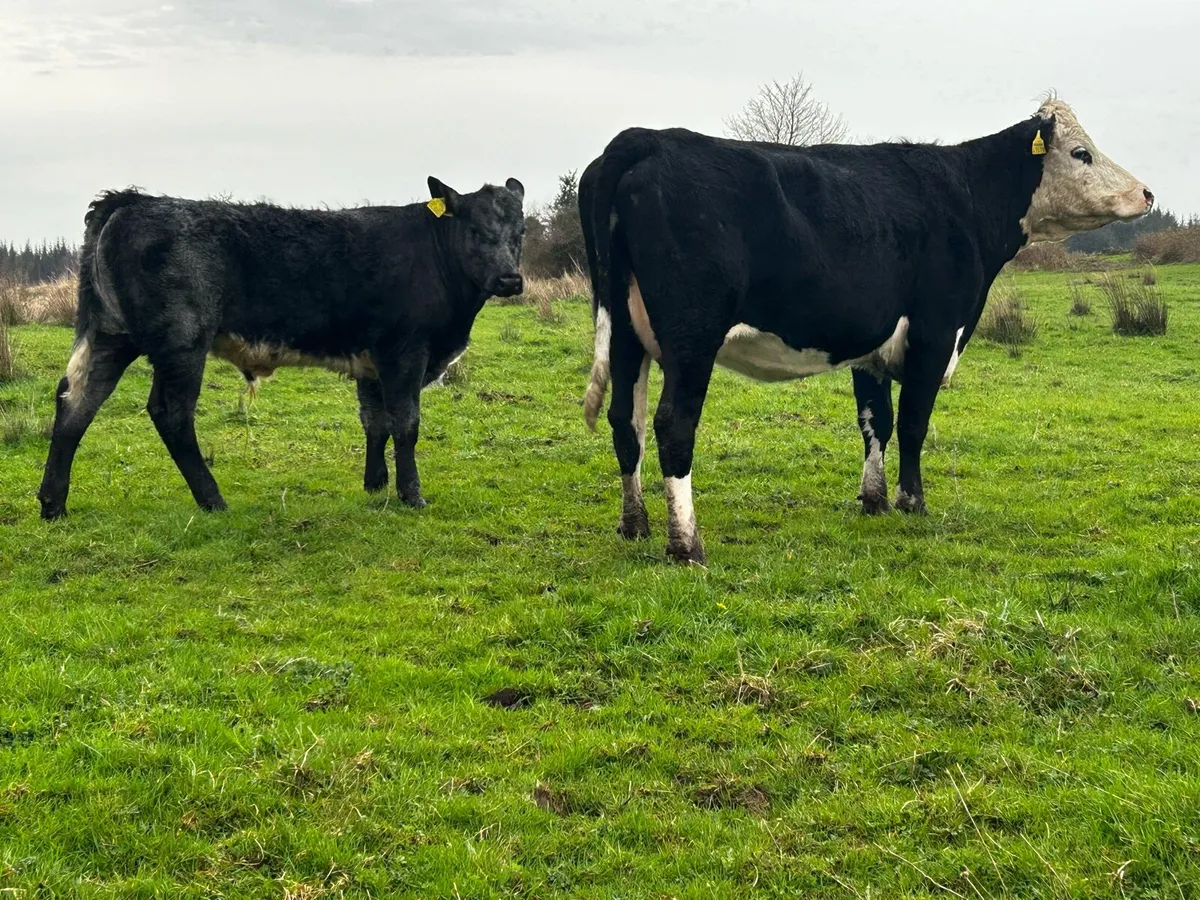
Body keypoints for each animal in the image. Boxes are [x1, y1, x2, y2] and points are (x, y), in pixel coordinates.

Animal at [38, 177, 526, 520]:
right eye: (476, 229)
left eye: (520, 231)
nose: (510, 279)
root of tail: (136, 201)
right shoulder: (404, 353)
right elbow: (405, 424)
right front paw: (412, 495)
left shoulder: (371, 363)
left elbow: (375, 423)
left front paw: (375, 484)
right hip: (181, 341)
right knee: (170, 413)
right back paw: (213, 499)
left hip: (110, 335)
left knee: (76, 403)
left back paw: (53, 504)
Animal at [579, 98, 1152, 565]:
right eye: (1081, 153)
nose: (1146, 193)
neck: (964, 198)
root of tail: (645, 138)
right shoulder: (935, 333)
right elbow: (915, 423)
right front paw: (912, 501)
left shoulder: (873, 348)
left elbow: (878, 421)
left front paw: (874, 500)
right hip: (691, 337)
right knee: (673, 424)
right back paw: (686, 545)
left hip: (626, 333)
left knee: (625, 422)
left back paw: (635, 525)